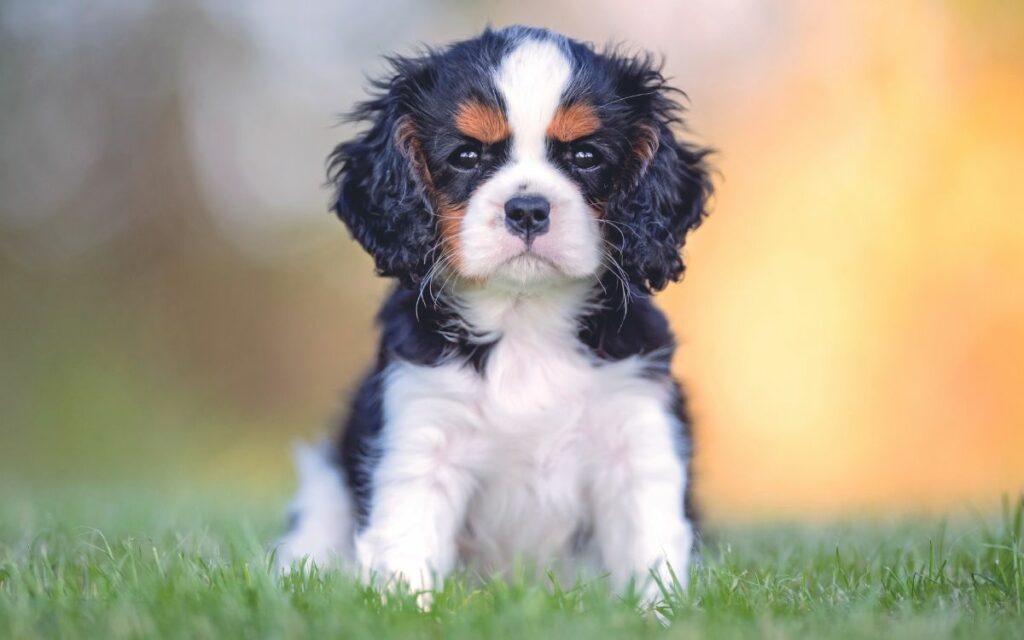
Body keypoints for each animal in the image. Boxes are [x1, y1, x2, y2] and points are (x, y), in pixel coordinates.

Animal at [276, 24, 716, 602]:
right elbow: (405, 549)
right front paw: (408, 609)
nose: (527, 209)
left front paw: (656, 613)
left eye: (586, 156)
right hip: (324, 492)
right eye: (466, 156)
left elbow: (650, 554)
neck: (523, 317)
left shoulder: (637, 438)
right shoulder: (421, 439)